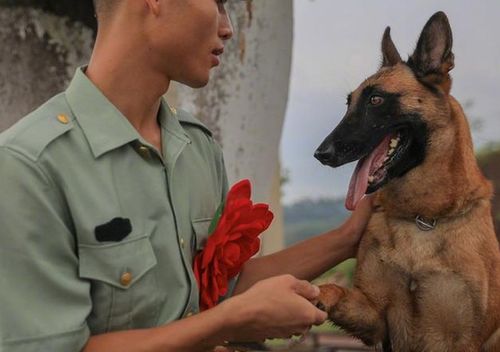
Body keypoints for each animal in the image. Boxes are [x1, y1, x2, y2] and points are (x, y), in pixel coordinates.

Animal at [312, 11, 500, 352]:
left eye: (375, 100)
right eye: (348, 103)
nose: (321, 153)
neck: (422, 218)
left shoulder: (464, 339)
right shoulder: (375, 317)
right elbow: (335, 290)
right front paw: (313, 294)